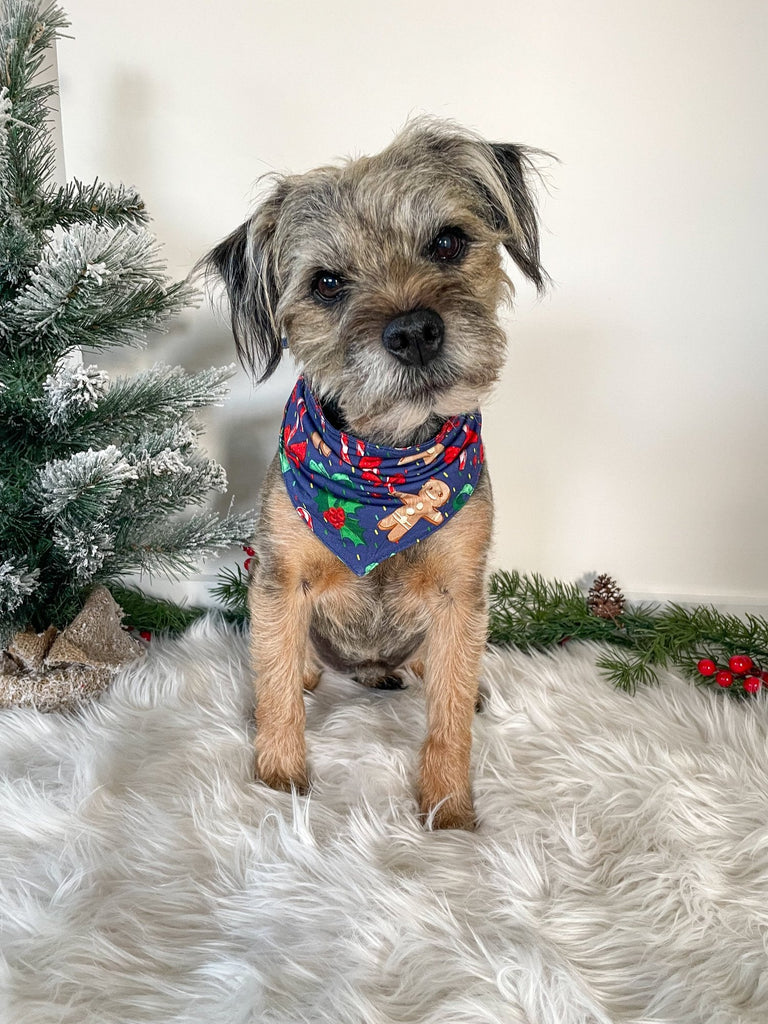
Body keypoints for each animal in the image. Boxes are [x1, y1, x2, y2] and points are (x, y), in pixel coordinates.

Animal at [204, 117, 548, 831]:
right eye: (327, 283)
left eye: (448, 241)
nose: (414, 331)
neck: (386, 468)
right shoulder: (281, 581)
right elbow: (280, 691)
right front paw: (277, 782)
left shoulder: (458, 594)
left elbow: (448, 717)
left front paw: (449, 812)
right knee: (293, 669)